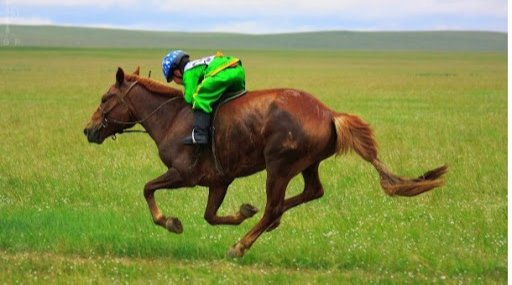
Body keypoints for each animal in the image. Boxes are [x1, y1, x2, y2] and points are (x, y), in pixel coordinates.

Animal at [82, 67, 446, 258]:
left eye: (105, 98)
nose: (88, 130)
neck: (172, 117)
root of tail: (329, 113)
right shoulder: (219, 181)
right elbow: (211, 215)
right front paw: (243, 211)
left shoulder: (182, 174)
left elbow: (148, 189)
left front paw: (170, 222)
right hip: (306, 165)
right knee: (311, 192)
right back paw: (270, 222)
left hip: (279, 167)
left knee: (276, 204)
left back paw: (241, 245)